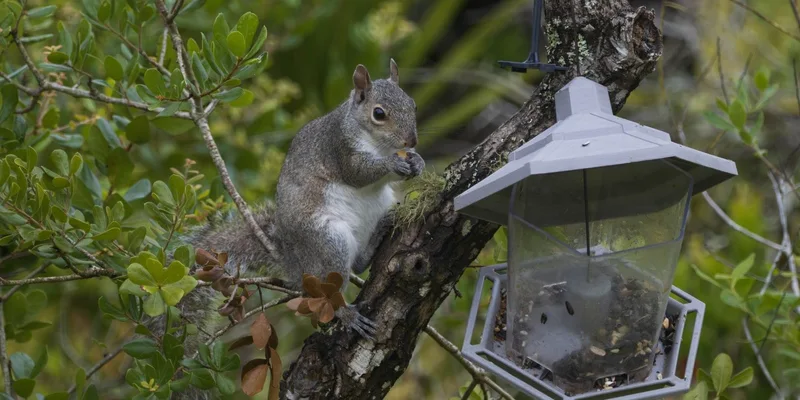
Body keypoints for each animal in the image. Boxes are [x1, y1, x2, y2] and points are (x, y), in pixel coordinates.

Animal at [162, 59, 423, 363]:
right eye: (379, 113)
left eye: (413, 104)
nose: (411, 141)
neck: (373, 139)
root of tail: (297, 266)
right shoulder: (339, 148)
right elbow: (359, 173)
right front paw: (394, 163)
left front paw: (417, 163)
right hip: (328, 240)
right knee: (332, 283)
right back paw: (345, 313)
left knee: (359, 263)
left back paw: (381, 230)